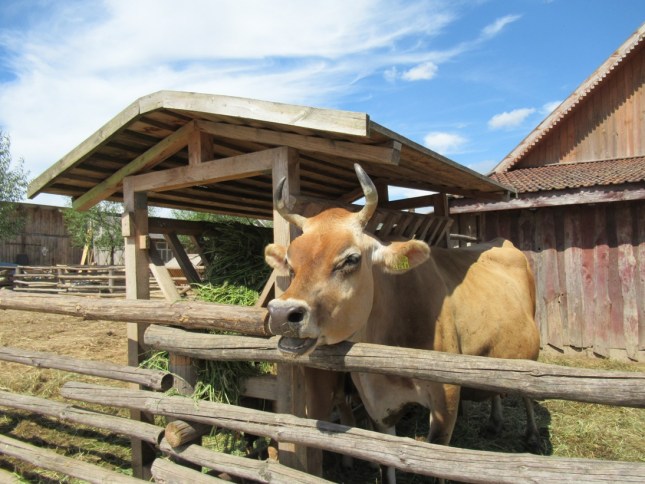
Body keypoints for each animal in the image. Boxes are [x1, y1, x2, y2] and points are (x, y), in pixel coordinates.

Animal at [265, 164, 541, 482]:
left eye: (351, 259)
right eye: (290, 263)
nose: (282, 314)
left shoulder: (446, 400)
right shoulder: (377, 403)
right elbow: (387, 463)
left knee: (526, 390)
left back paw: (532, 435)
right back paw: (495, 422)